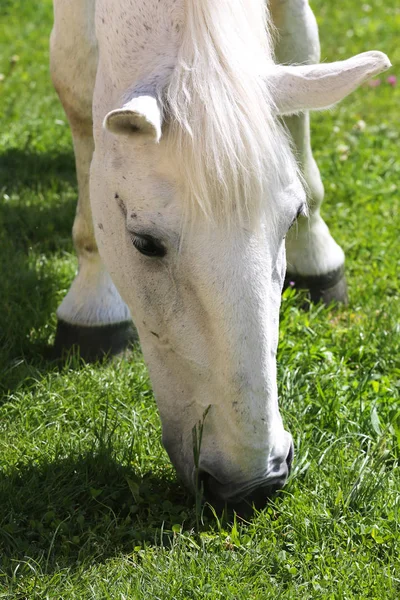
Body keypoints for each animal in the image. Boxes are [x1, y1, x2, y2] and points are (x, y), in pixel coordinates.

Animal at [50, 1, 390, 506]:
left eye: (292, 218)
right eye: (144, 243)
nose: (253, 483)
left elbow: (298, 47)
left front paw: (315, 251)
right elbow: (74, 82)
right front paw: (93, 297)